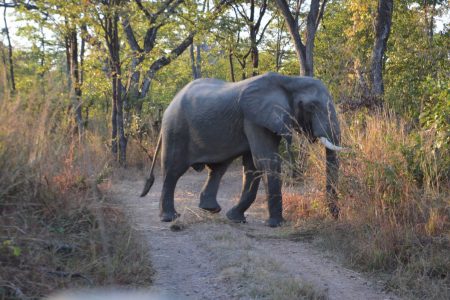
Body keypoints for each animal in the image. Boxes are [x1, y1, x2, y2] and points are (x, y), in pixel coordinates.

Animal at [141, 72, 344, 227]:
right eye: (311, 106)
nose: (334, 217)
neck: (289, 80)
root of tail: (171, 102)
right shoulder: (255, 117)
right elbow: (265, 161)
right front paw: (276, 224)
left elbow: (253, 166)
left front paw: (236, 219)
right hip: (175, 129)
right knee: (173, 170)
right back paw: (170, 218)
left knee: (217, 169)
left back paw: (211, 209)